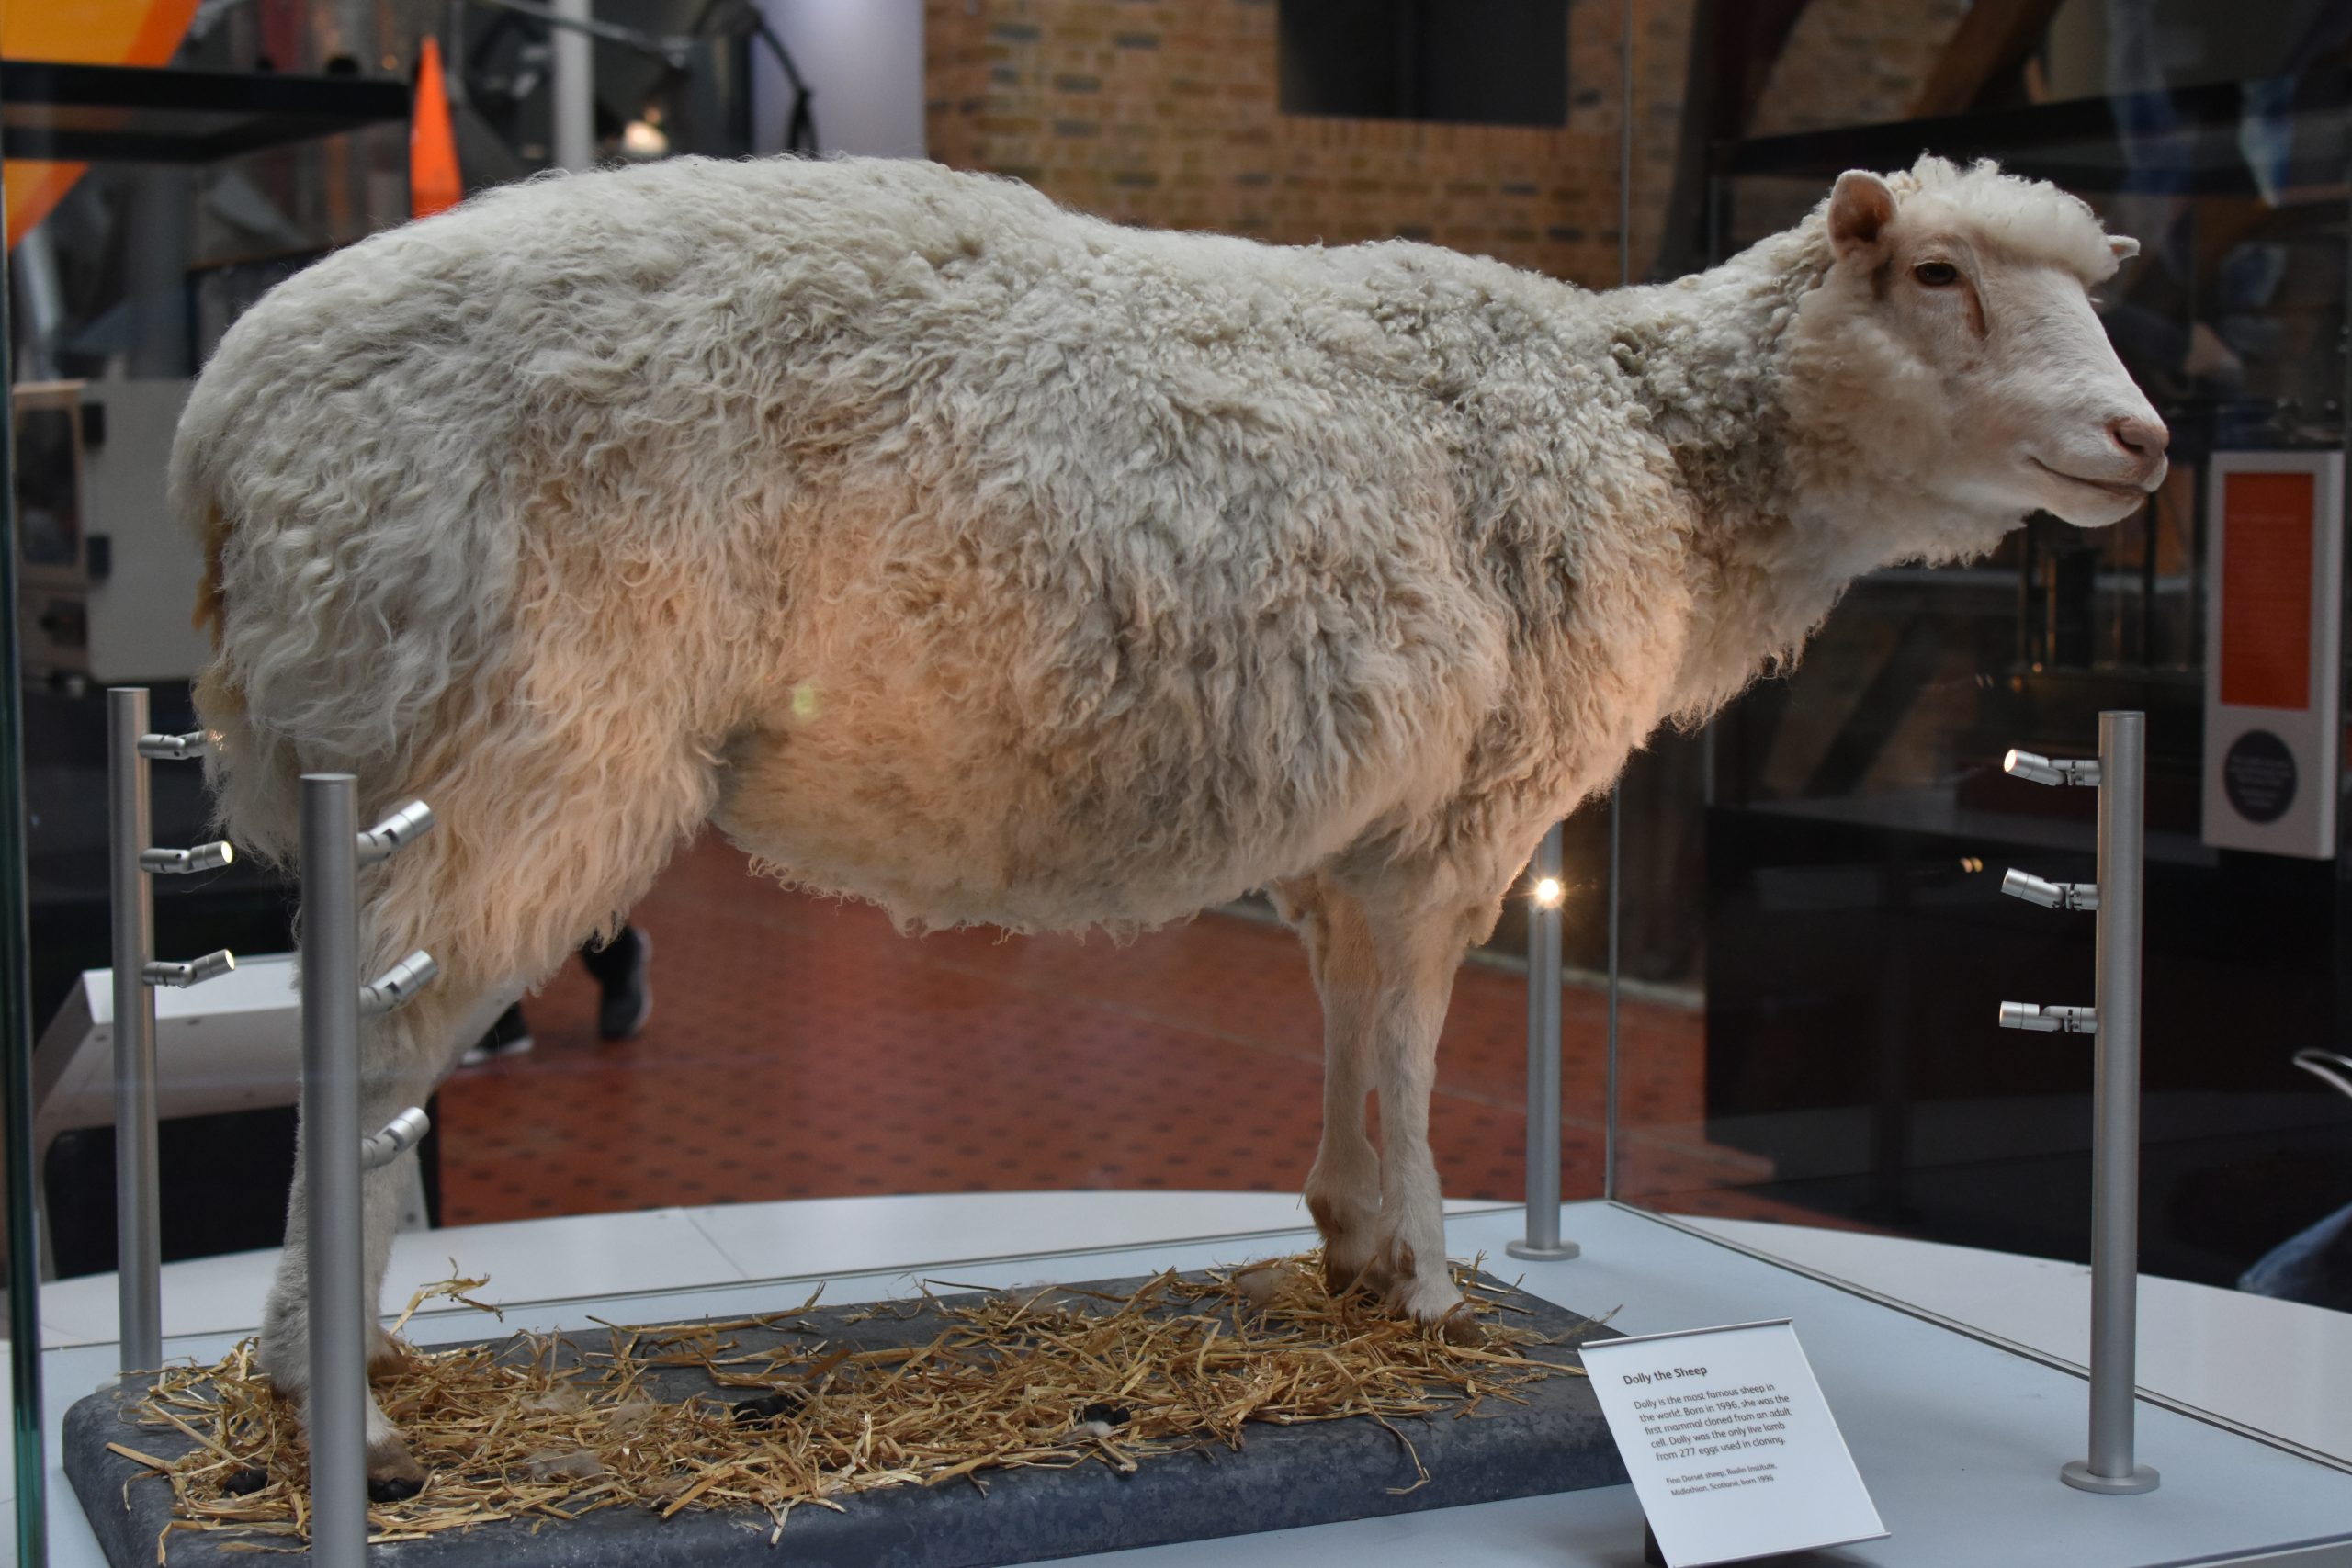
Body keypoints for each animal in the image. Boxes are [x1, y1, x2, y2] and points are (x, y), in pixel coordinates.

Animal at [172, 152, 2167, 1494]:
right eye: (1933, 273)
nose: (2143, 439)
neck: (1659, 450)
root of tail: (221, 430)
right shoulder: (1463, 803)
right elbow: (1411, 1034)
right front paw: (1426, 1282)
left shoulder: (1361, 826)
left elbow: (1355, 1017)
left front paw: (1349, 1240)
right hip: (507, 743)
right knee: (365, 1057)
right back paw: (333, 1405)